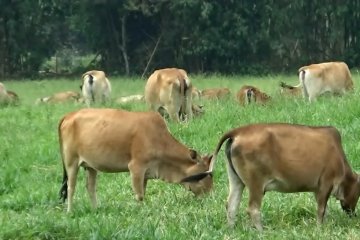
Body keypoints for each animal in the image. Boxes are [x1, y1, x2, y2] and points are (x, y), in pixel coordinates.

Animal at [57, 109, 212, 212]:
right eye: (203, 175)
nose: (208, 196)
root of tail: (69, 115)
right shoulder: (136, 167)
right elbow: (140, 195)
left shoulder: (146, 173)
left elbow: (143, 191)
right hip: (71, 162)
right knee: (70, 187)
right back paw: (70, 211)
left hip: (91, 166)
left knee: (90, 187)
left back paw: (96, 210)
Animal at [210, 124, 360, 231]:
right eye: (358, 193)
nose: (353, 214)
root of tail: (238, 131)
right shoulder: (326, 182)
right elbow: (321, 209)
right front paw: (319, 228)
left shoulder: (318, 188)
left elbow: (324, 209)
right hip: (256, 184)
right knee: (252, 208)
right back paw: (261, 231)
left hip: (236, 181)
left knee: (231, 205)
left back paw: (231, 229)